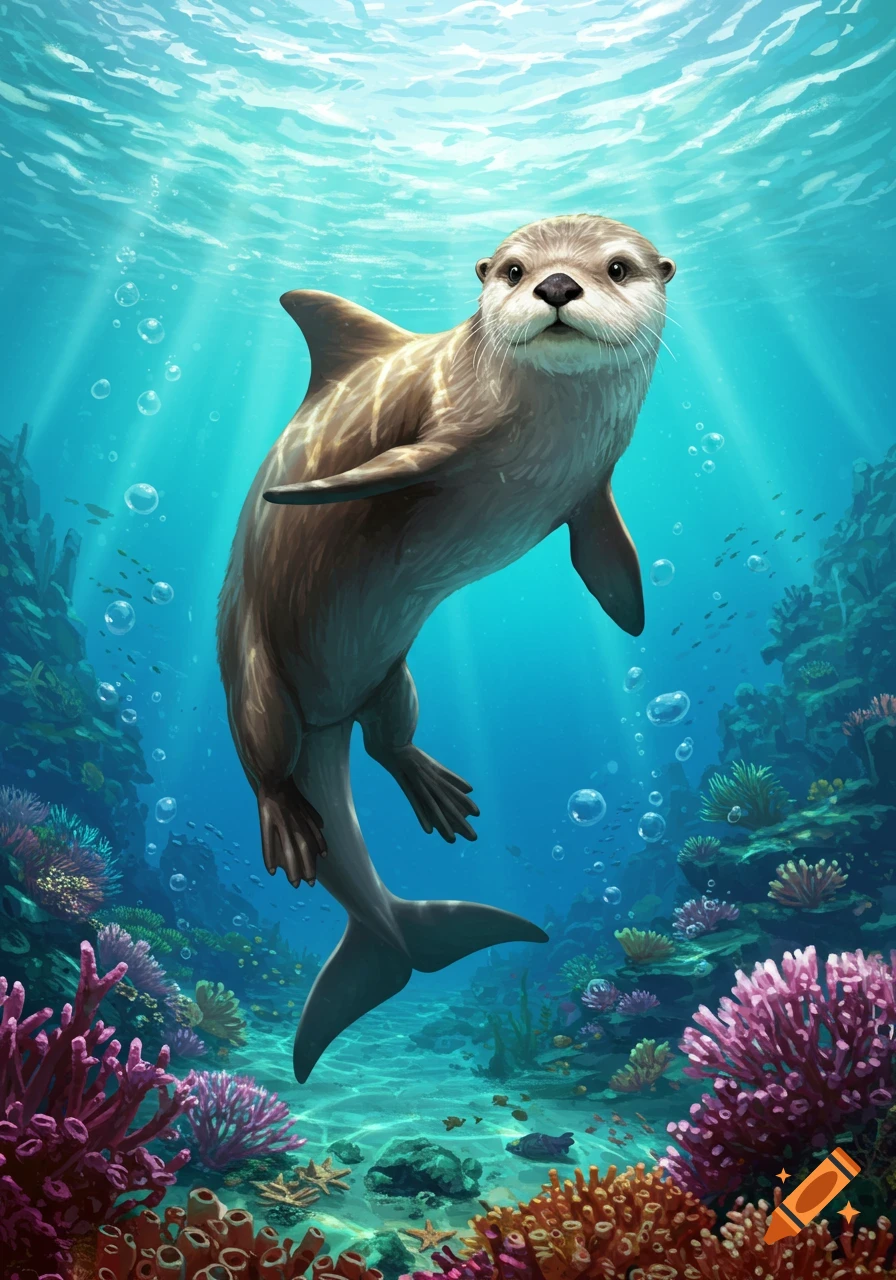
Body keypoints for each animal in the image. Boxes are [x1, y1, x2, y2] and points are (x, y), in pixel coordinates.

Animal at [218, 214, 675, 1082]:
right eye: (511, 269)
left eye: (621, 268)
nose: (556, 287)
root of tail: (394, 931)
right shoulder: (443, 437)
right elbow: (358, 480)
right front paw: (296, 493)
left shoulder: (590, 487)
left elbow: (614, 567)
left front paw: (632, 613)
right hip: (255, 671)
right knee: (265, 753)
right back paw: (289, 824)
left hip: (390, 676)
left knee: (384, 735)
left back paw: (431, 790)